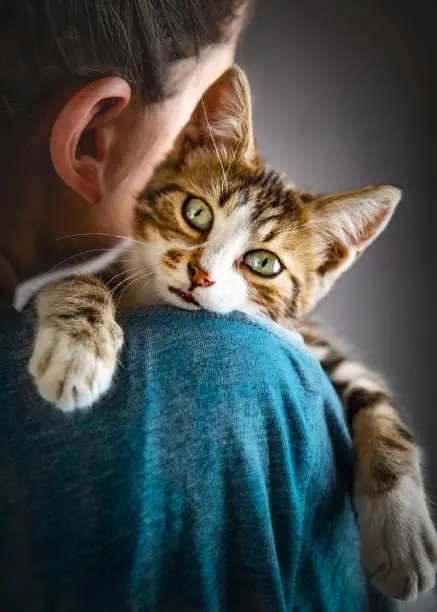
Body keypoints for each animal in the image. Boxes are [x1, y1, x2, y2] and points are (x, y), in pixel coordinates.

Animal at [28, 65, 436, 596]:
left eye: (263, 262)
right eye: (196, 212)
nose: (201, 274)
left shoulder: (308, 337)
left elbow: (373, 396)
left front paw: (402, 534)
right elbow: (78, 280)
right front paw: (76, 352)